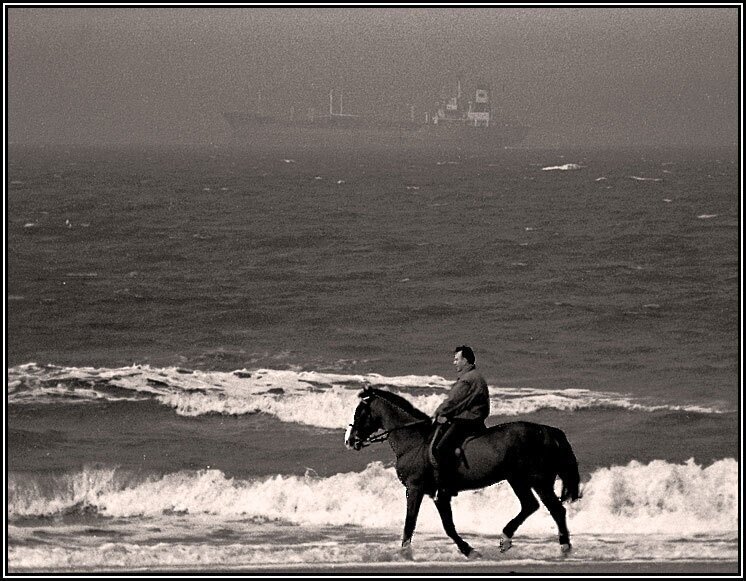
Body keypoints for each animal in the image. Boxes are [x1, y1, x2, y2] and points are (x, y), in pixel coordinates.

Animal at [342, 386, 580, 556]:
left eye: (360, 413)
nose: (350, 440)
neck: (414, 441)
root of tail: (547, 431)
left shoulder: (416, 488)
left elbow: (412, 522)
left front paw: (406, 551)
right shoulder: (439, 494)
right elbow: (447, 525)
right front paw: (467, 549)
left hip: (533, 480)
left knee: (552, 509)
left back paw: (556, 544)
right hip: (523, 480)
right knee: (536, 506)